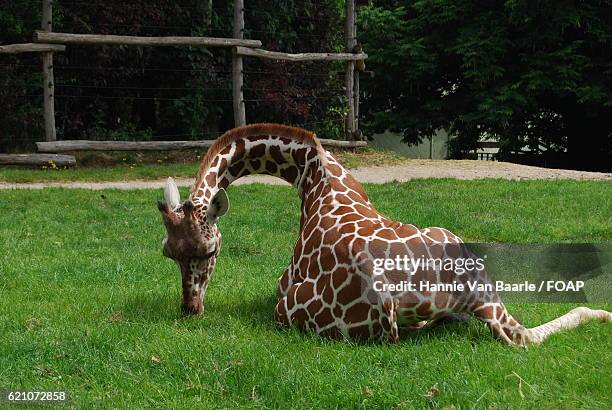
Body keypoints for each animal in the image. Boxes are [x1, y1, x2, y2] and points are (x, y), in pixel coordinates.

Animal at [159, 124, 612, 346]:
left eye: (209, 250)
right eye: (169, 253)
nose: (191, 308)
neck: (312, 173)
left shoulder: (280, 284)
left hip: (286, 310)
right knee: (518, 335)